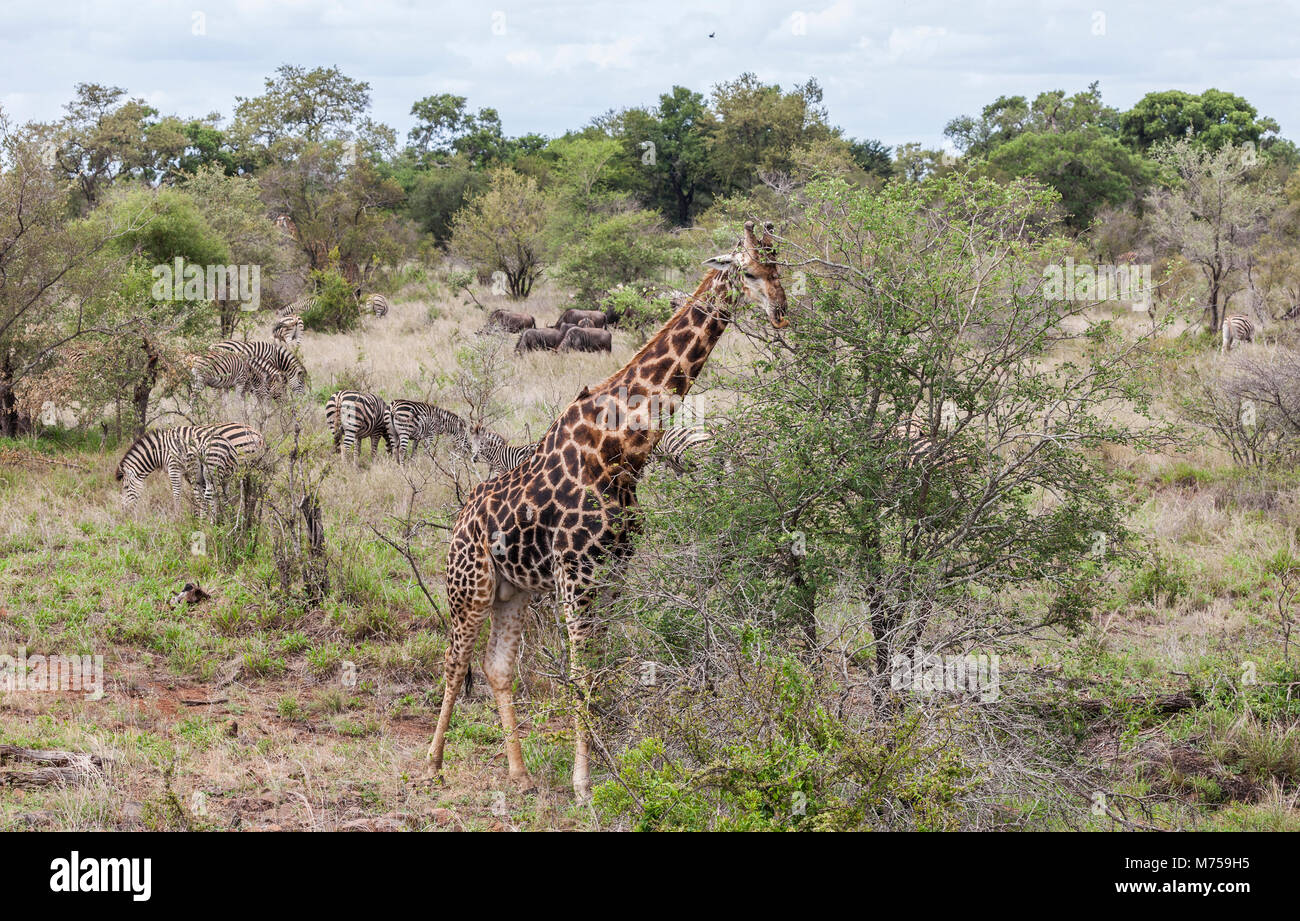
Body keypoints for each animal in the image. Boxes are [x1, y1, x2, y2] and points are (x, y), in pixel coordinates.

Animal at [118, 424, 265, 517]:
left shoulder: (174, 467)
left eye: (125, 487)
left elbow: (177, 493)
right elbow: (198, 493)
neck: (160, 451)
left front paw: (177, 516)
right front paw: (197, 515)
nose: (124, 512)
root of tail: (257, 434)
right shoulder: (189, 471)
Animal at [431, 221, 785, 796]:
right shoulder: (576, 573)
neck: (624, 447)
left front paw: (605, 767)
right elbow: (580, 672)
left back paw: (520, 774)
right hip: (470, 584)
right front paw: (582, 783)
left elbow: (605, 666)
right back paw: (433, 762)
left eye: (779, 267)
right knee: (454, 657)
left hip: (513, 590)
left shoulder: (614, 572)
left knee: (497, 667)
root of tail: (460, 518)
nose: (781, 311)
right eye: (749, 271)